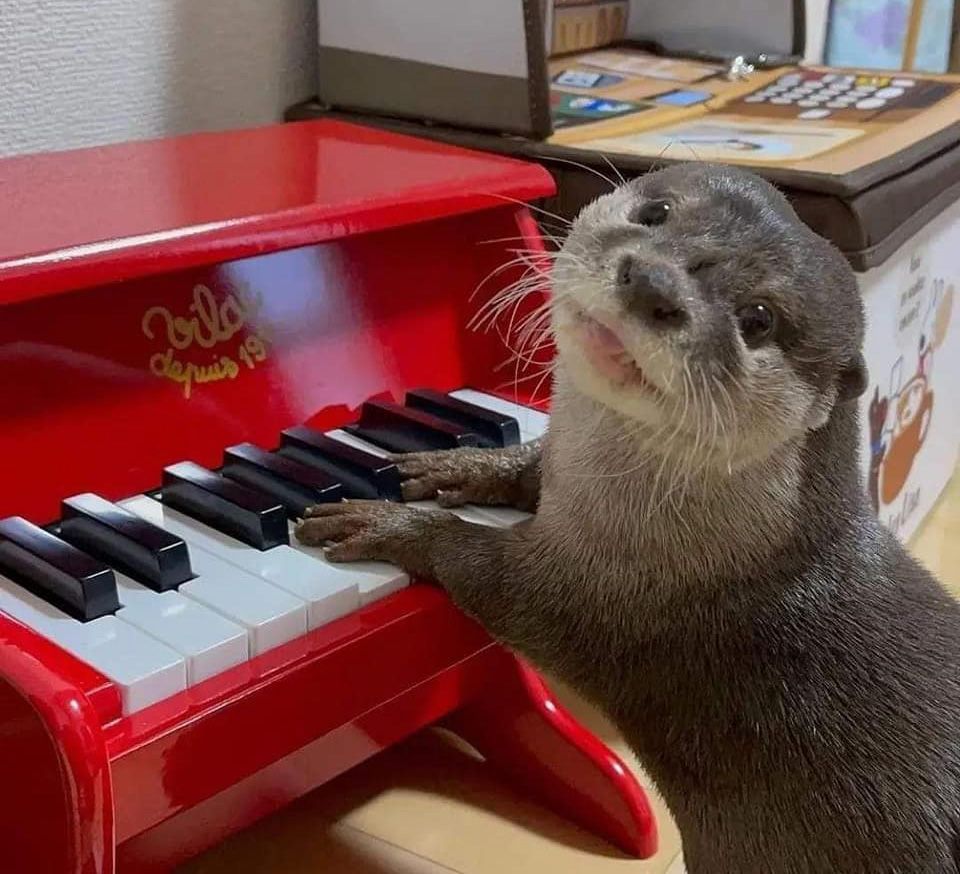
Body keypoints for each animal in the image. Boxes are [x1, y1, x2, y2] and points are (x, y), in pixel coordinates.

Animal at [296, 163, 960, 873]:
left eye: (758, 318)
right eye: (657, 211)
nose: (653, 282)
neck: (730, 554)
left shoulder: (602, 603)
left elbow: (492, 579)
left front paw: (389, 525)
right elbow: (527, 471)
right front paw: (457, 464)